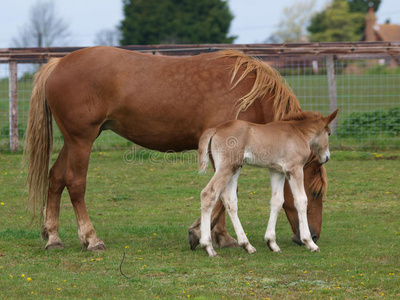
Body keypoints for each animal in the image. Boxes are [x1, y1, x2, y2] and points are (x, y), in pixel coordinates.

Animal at [197, 109, 338, 256]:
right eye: (329, 133)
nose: (327, 157)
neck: (298, 131)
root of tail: (215, 129)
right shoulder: (294, 169)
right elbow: (301, 200)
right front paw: (310, 243)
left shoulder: (277, 171)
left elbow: (277, 201)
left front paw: (272, 243)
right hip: (226, 168)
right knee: (208, 194)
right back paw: (208, 247)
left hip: (234, 170)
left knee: (230, 201)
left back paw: (247, 245)